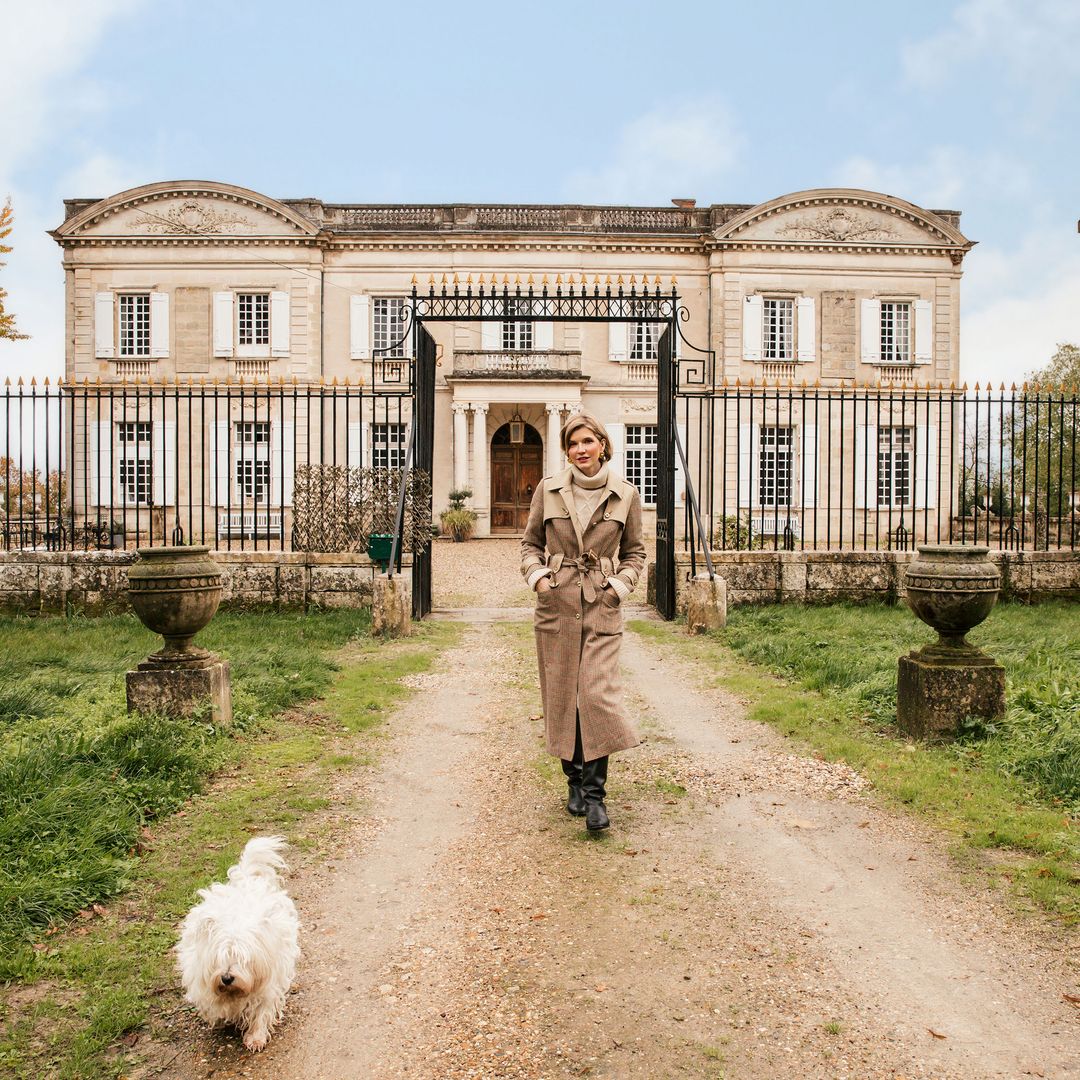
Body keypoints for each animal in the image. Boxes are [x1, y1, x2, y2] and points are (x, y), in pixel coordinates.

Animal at [177, 838, 302, 1049]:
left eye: (244, 959)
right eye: (219, 957)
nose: (227, 978)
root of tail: (245, 878)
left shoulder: (268, 985)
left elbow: (261, 1012)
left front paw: (256, 1037)